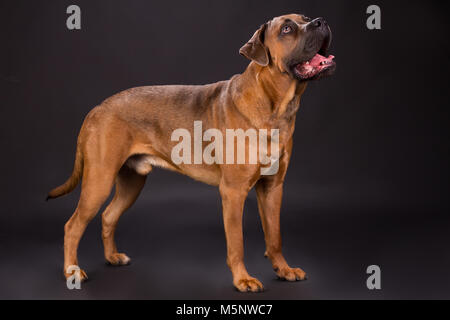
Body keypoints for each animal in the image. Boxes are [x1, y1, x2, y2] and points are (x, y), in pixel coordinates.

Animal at [49, 13, 336, 292]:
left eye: (305, 17)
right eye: (287, 29)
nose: (321, 21)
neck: (274, 104)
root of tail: (97, 108)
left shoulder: (273, 188)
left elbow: (274, 236)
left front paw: (283, 270)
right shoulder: (233, 192)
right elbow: (237, 243)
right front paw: (242, 280)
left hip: (132, 182)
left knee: (108, 216)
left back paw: (112, 257)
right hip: (99, 181)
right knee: (72, 226)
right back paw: (72, 272)